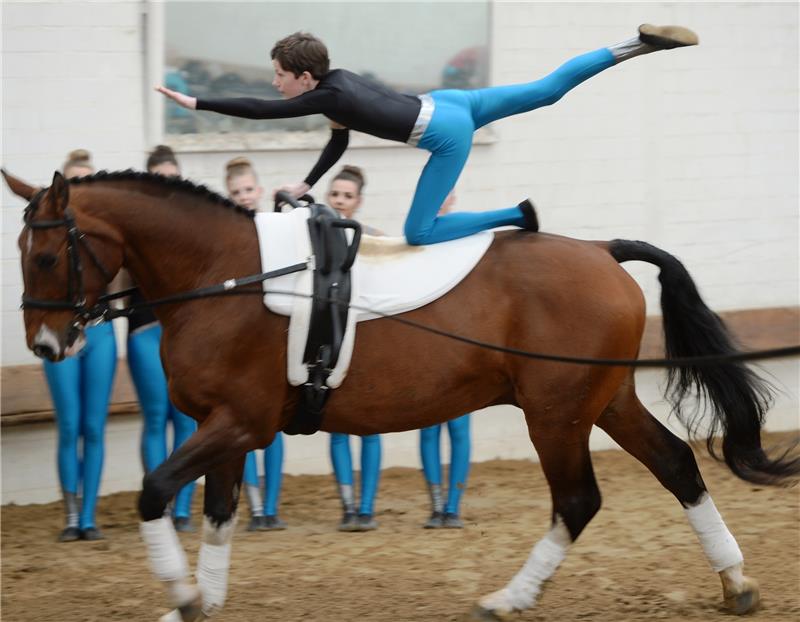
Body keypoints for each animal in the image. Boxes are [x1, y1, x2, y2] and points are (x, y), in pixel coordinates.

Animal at [3, 168, 796, 620]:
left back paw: (508, 599)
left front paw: (183, 595)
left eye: (43, 256)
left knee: (578, 500)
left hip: (556, 414)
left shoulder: (240, 424)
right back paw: (735, 584)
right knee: (678, 465)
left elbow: (153, 491)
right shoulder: (220, 426)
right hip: (604, 401)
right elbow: (220, 515)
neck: (224, 275)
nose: (46, 348)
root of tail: (602, 252)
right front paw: (203, 601)